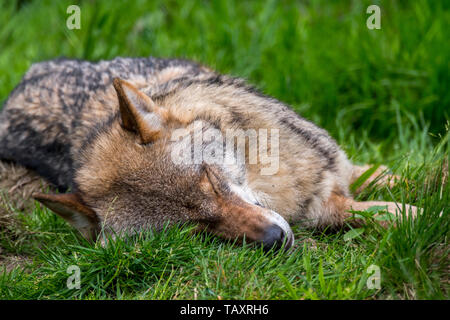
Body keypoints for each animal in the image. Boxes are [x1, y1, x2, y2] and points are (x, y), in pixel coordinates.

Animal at [0, 57, 418, 250]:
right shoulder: (323, 209)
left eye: (211, 180)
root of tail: (21, 83)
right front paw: (408, 213)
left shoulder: (341, 167)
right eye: (195, 228)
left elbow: (395, 174)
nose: (274, 239)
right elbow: (377, 211)